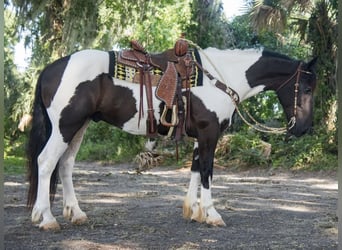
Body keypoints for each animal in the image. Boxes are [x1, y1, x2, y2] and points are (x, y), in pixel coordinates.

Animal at [27, 46, 318, 229]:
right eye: (306, 87)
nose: (303, 129)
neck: (221, 78)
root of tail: (52, 68)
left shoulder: (200, 135)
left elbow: (195, 169)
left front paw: (193, 211)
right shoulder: (209, 132)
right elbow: (207, 171)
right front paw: (212, 214)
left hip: (79, 126)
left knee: (65, 165)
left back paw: (76, 214)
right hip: (65, 126)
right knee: (46, 162)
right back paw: (46, 218)